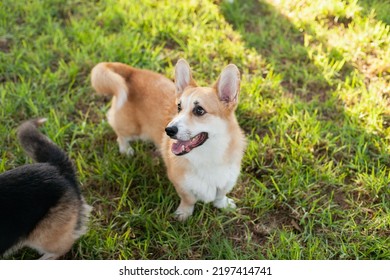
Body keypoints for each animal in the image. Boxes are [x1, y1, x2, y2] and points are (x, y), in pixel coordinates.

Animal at [91, 59, 244, 221]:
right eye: (179, 107)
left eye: (199, 110)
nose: (168, 130)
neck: (208, 155)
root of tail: (133, 72)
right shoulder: (180, 183)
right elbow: (189, 199)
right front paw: (183, 214)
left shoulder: (228, 179)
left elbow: (220, 195)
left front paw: (224, 205)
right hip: (133, 129)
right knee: (120, 134)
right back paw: (126, 150)